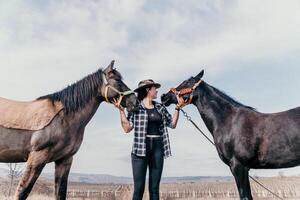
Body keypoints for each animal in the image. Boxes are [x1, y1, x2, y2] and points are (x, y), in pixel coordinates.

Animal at [0, 61, 138, 200]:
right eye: (117, 80)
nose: (135, 102)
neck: (64, 118)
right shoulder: (37, 157)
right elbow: (22, 192)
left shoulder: (65, 160)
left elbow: (60, 192)